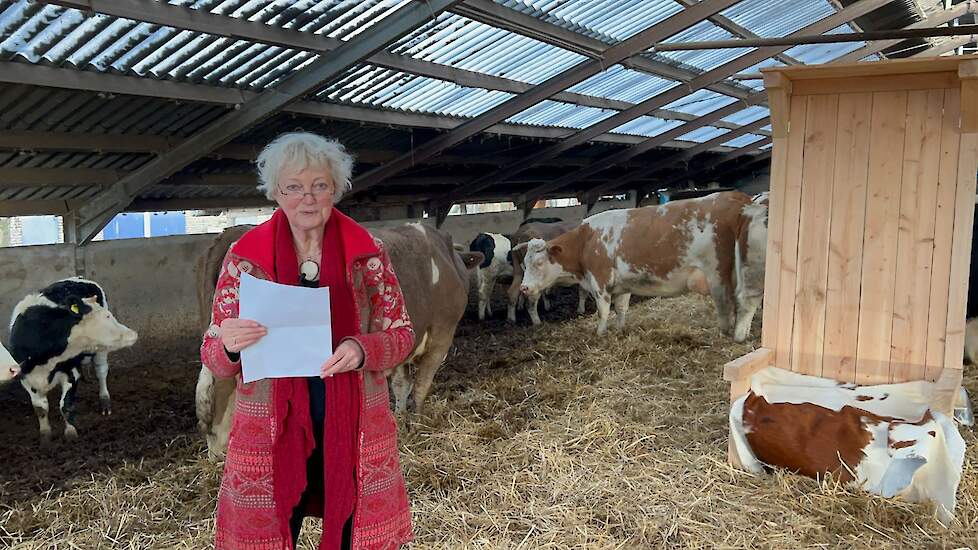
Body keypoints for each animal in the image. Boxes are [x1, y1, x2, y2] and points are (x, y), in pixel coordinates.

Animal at [9, 278, 137, 446]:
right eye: (107, 317)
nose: (133, 334)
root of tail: (80, 278)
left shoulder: (71, 372)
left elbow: (66, 406)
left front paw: (71, 434)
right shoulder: (26, 378)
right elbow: (40, 409)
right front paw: (45, 437)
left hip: (101, 351)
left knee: (101, 371)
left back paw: (105, 402)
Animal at [516, 192, 768, 342]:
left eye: (539, 262)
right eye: (524, 263)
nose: (524, 288)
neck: (586, 240)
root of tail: (737, 198)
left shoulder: (600, 281)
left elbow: (603, 311)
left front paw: (599, 334)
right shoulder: (623, 284)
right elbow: (621, 309)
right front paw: (619, 330)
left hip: (720, 275)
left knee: (735, 305)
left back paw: (731, 336)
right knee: (748, 303)